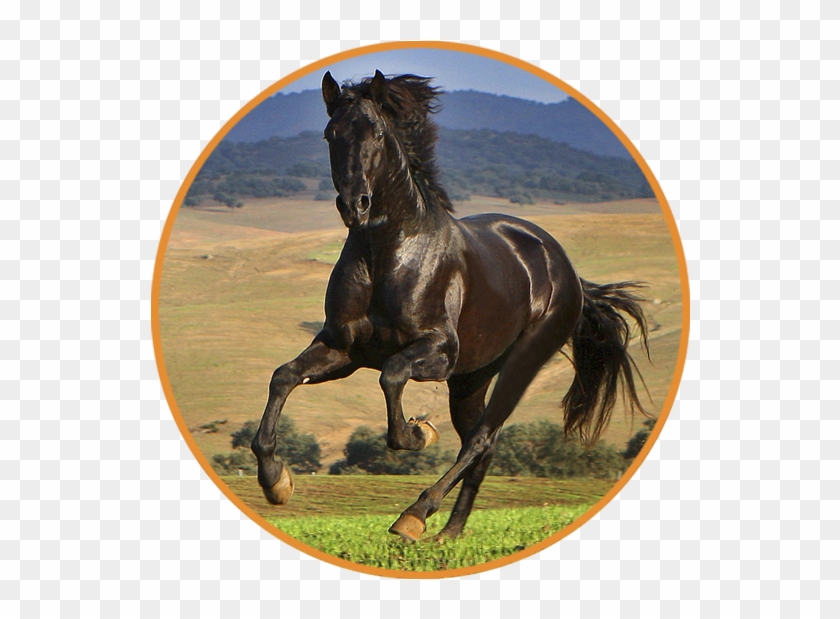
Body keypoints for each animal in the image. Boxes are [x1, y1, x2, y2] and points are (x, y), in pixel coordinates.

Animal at [251, 70, 650, 541]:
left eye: (378, 134)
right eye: (331, 135)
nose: (354, 206)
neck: (387, 253)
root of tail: (567, 273)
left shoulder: (438, 352)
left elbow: (392, 376)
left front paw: (420, 433)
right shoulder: (343, 349)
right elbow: (283, 377)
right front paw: (275, 481)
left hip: (520, 363)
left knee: (481, 440)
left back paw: (414, 516)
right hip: (472, 379)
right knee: (480, 445)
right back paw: (449, 531)